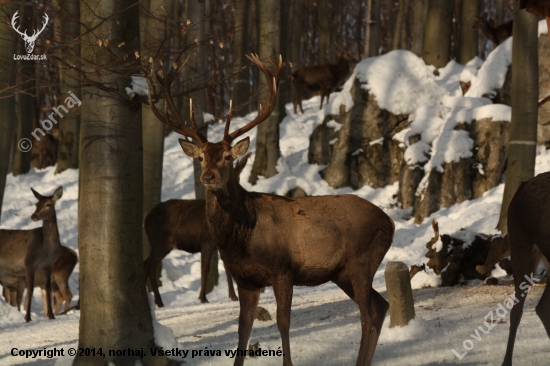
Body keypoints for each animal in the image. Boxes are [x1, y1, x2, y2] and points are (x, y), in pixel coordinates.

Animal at [0, 187, 63, 322]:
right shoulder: (29, 262)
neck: (46, 250)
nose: (34, 216)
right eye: (36, 204)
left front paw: (51, 316)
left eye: (48, 204)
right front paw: (27, 317)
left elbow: (48, 288)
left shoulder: (48, 265)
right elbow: (30, 290)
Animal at [144, 152, 252, 306]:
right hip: (159, 241)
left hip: (163, 244)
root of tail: (145, 217)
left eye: (239, 177)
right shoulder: (206, 241)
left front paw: (233, 296)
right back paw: (159, 302)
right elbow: (204, 269)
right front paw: (202, 297)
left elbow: (227, 269)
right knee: (149, 265)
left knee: (147, 264)